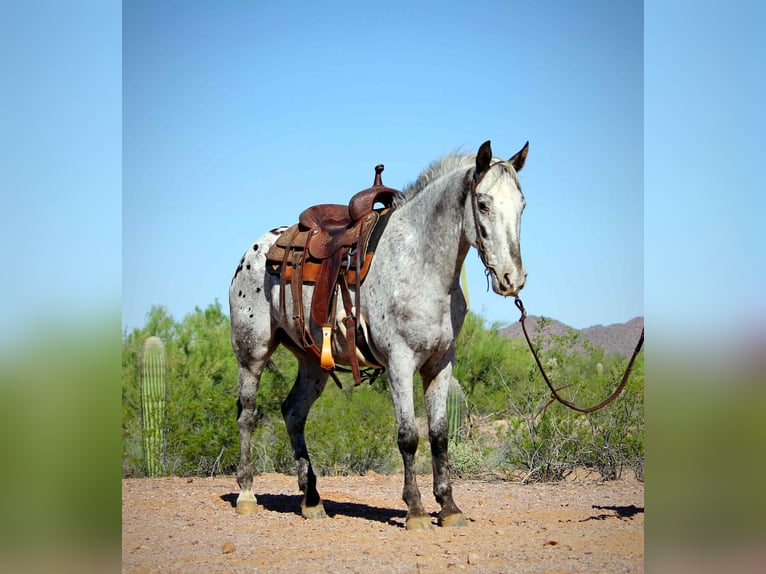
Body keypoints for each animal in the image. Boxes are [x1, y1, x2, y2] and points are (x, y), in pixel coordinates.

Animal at [229, 140, 528, 530]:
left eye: (522, 205)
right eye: (483, 204)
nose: (512, 279)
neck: (421, 265)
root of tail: (254, 251)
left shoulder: (440, 364)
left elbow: (439, 435)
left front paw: (449, 507)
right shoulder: (400, 362)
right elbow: (408, 436)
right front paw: (415, 510)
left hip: (312, 362)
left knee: (293, 412)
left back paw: (312, 500)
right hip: (252, 352)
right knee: (248, 414)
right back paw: (247, 494)